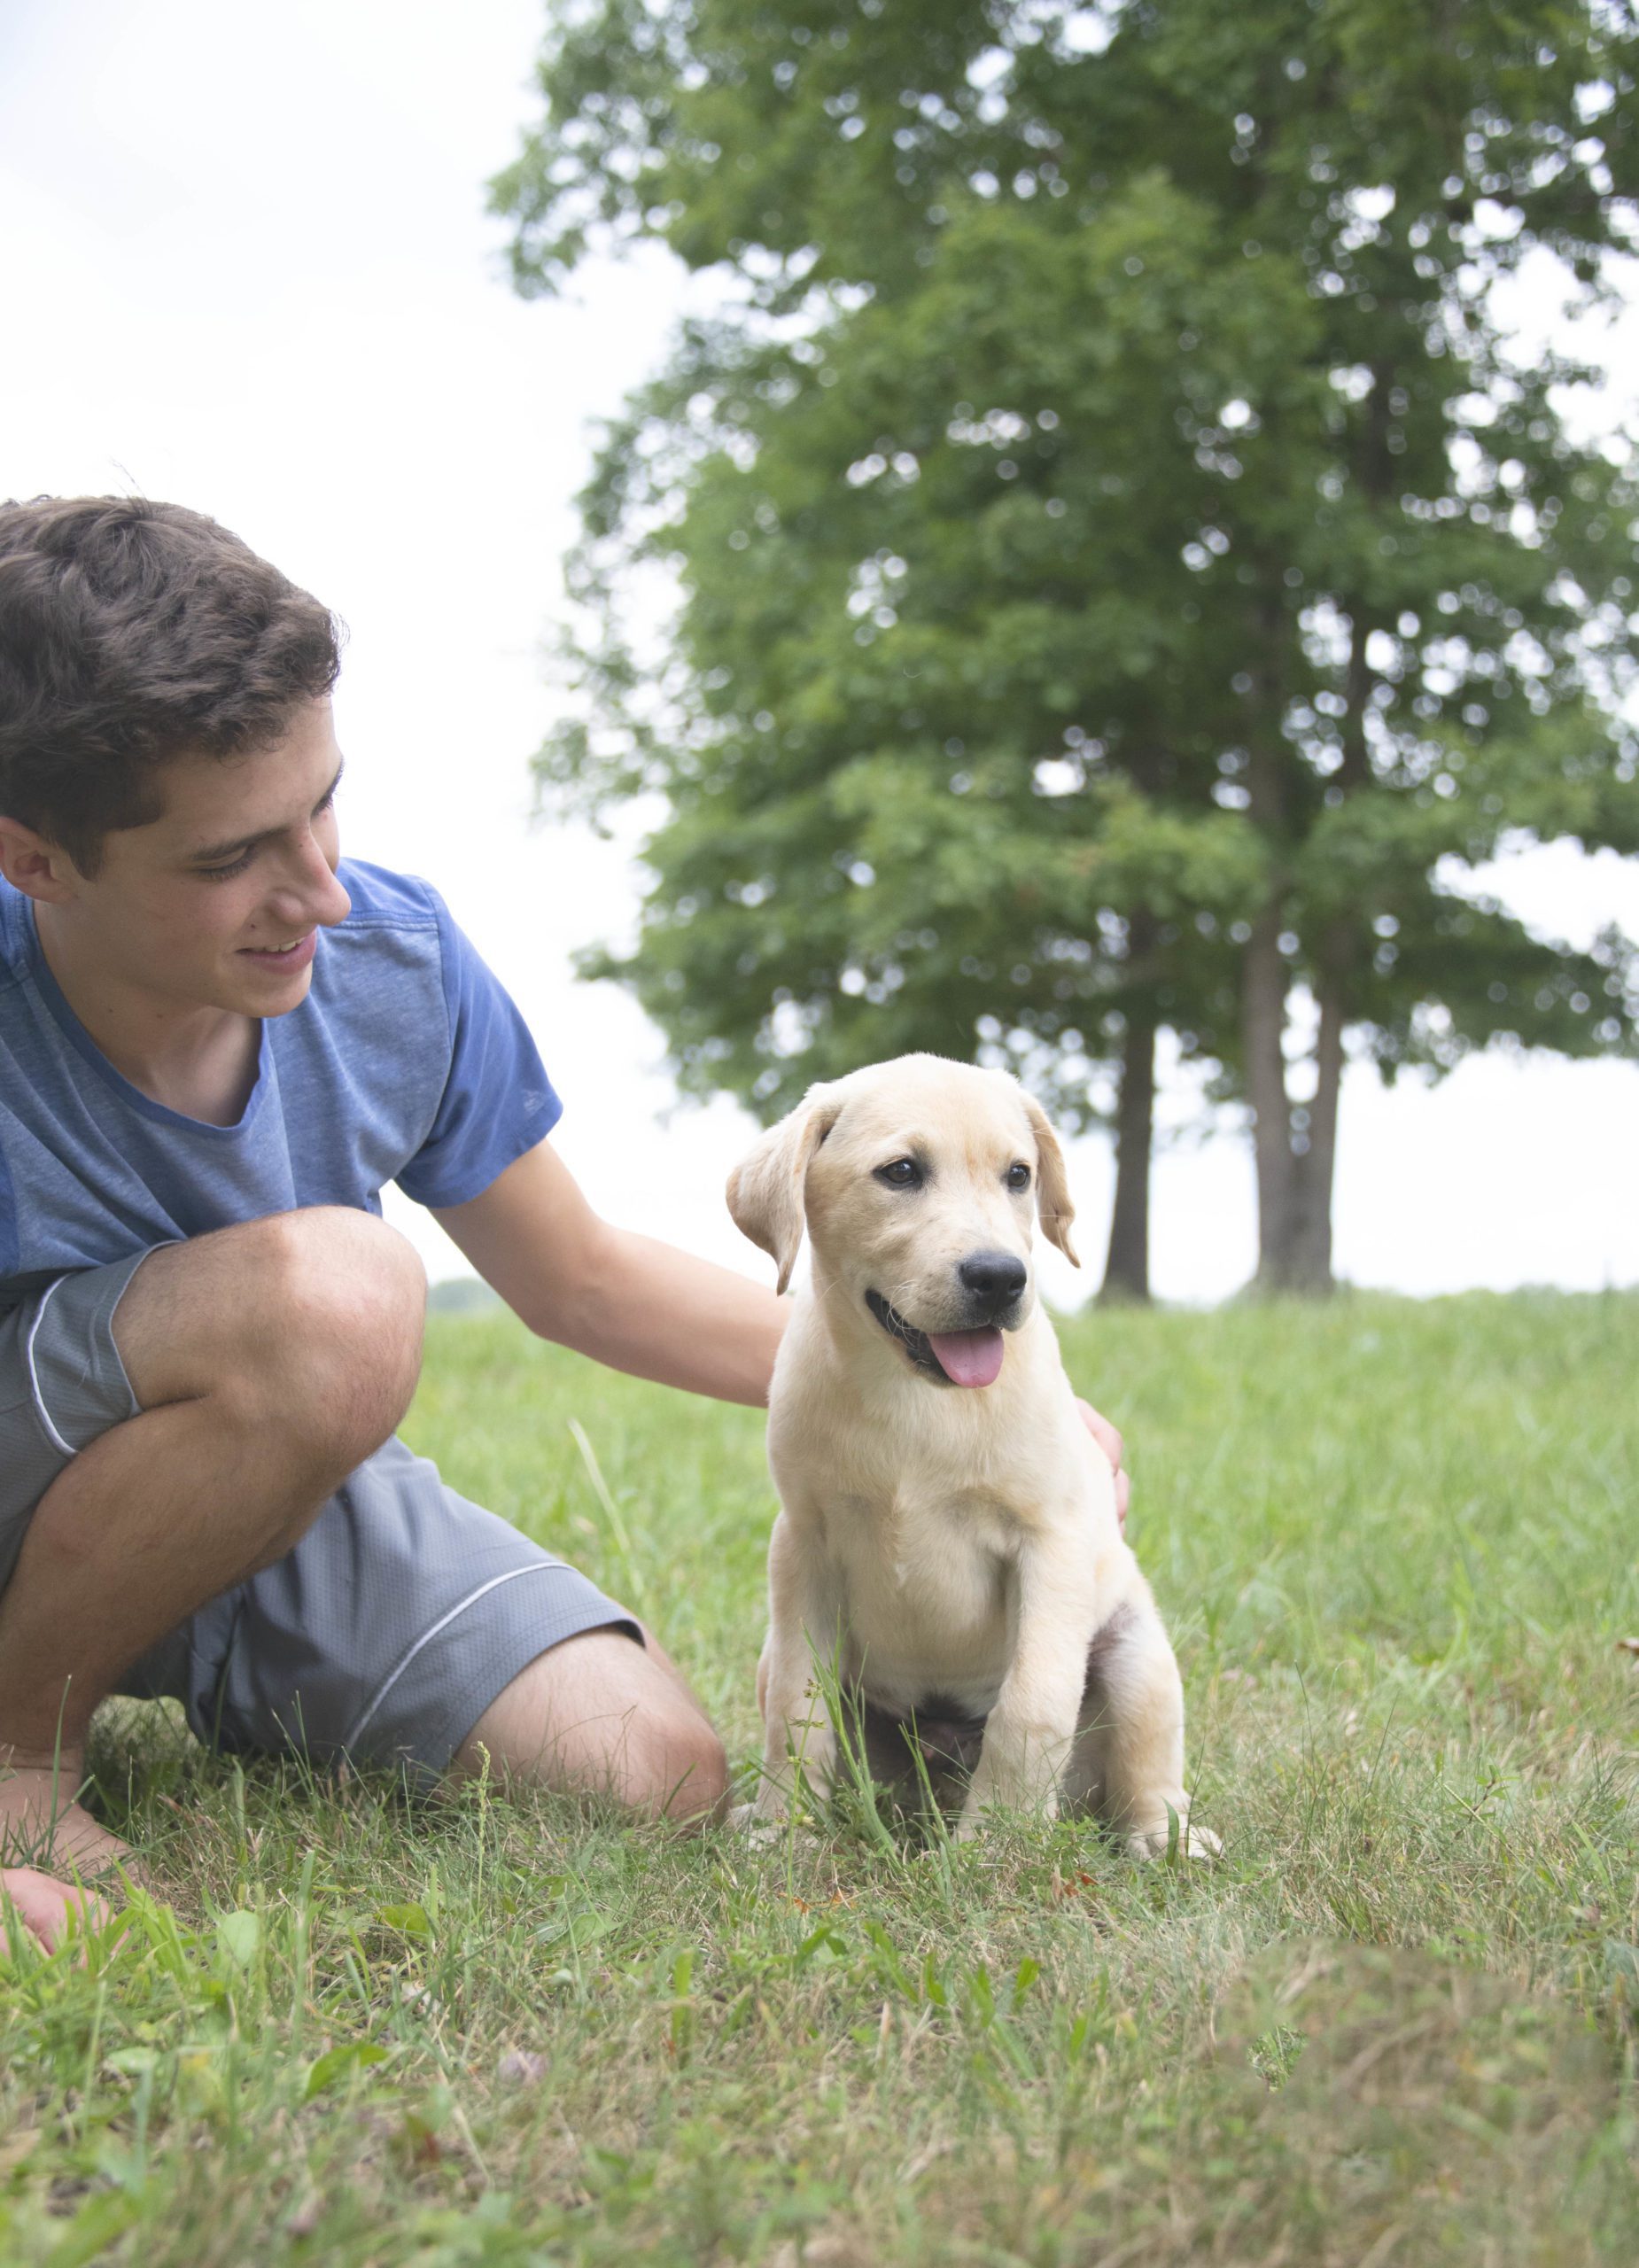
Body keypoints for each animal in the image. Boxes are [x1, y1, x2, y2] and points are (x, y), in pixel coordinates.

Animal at [729, 1052, 1215, 1850]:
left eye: (1018, 1175)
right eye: (900, 1172)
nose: (1000, 1278)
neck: (916, 1398)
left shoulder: (1049, 1542)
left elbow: (1031, 1705)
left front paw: (996, 1846)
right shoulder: (802, 1544)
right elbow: (797, 1712)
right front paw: (784, 1833)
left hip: (1138, 1655)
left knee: (1143, 1768)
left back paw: (1162, 1835)